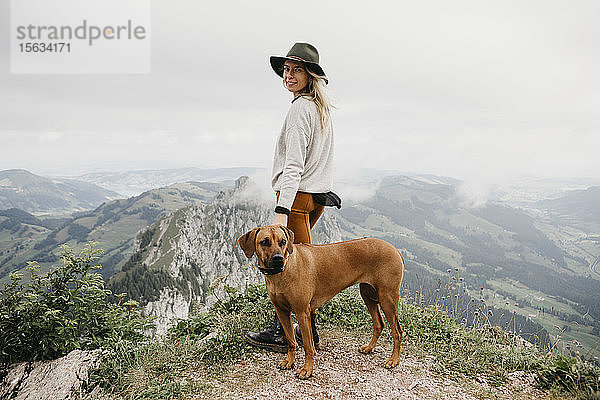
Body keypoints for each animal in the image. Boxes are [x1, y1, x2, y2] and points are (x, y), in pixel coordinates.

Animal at [237, 225, 406, 378]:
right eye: (264, 242)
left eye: (283, 241)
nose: (278, 259)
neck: (283, 271)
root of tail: (395, 249)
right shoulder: (281, 311)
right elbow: (291, 341)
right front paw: (290, 362)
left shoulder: (302, 312)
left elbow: (308, 346)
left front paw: (307, 370)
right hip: (367, 294)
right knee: (379, 324)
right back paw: (369, 348)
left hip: (387, 298)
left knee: (397, 331)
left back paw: (394, 360)